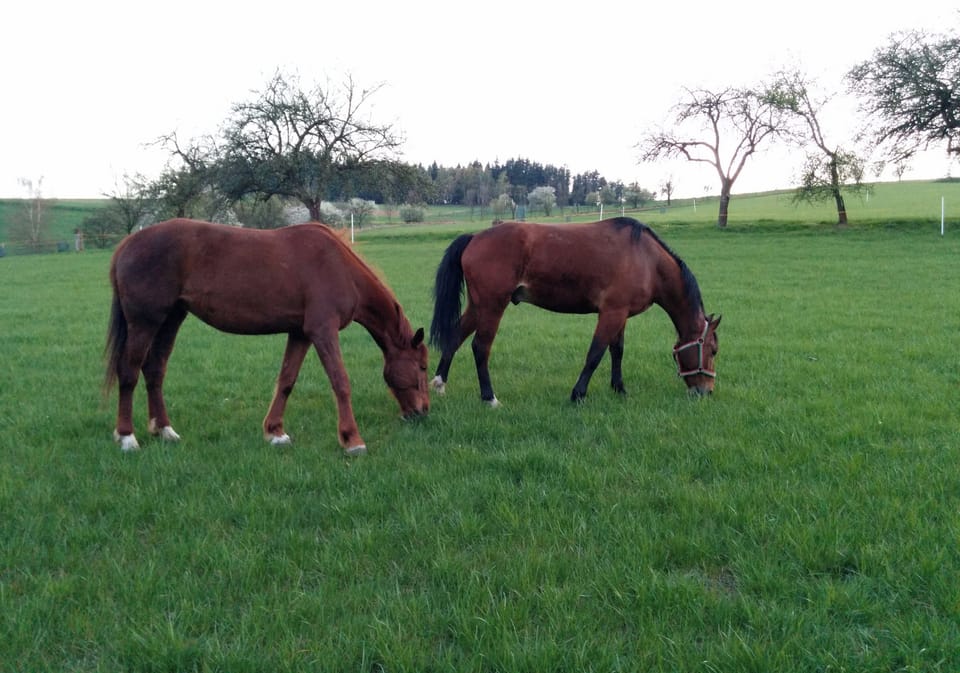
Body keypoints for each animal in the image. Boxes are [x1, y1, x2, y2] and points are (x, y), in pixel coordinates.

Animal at [104, 218, 429, 455]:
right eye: (423, 367)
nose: (422, 412)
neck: (340, 267)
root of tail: (127, 244)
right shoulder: (323, 331)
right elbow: (340, 382)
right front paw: (352, 440)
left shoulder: (300, 333)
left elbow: (286, 380)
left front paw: (275, 432)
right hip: (144, 322)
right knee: (129, 372)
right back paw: (127, 437)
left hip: (171, 319)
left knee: (154, 370)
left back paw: (164, 430)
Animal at [429, 217, 720, 405]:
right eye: (714, 350)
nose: (707, 391)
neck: (647, 259)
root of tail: (474, 237)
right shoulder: (611, 313)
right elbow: (595, 353)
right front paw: (578, 394)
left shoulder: (621, 314)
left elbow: (617, 351)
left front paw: (619, 389)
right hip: (492, 305)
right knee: (480, 347)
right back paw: (489, 397)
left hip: (478, 305)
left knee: (455, 337)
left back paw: (440, 383)